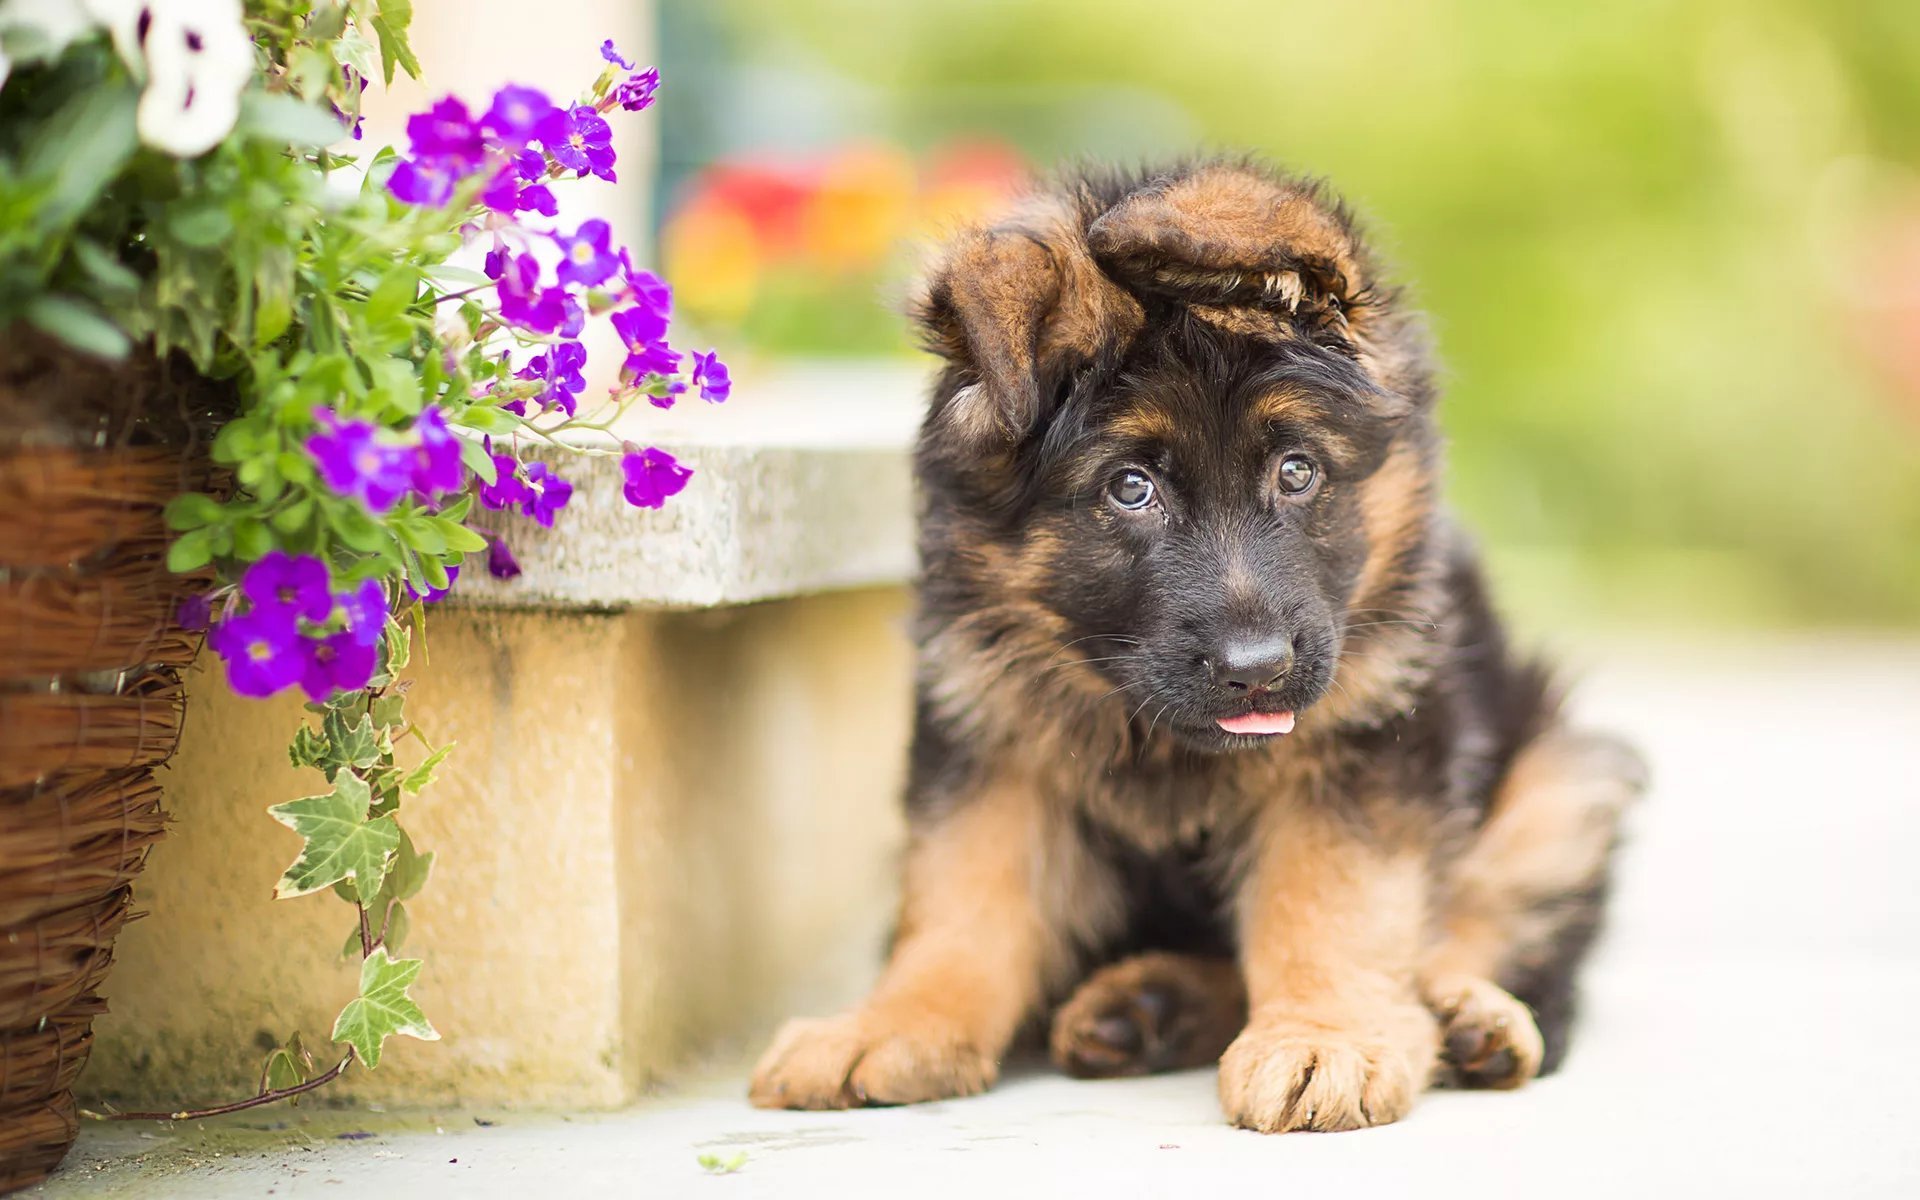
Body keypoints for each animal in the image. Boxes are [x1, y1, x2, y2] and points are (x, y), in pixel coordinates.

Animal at [748, 161, 1651, 1128]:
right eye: (1130, 487)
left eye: (1297, 471)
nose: (1258, 673)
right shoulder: (995, 736)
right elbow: (964, 896)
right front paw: (896, 1023)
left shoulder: (1363, 740)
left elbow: (1330, 896)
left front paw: (1325, 1034)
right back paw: (1151, 1006)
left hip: (1563, 787)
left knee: (1501, 931)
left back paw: (1462, 1017)